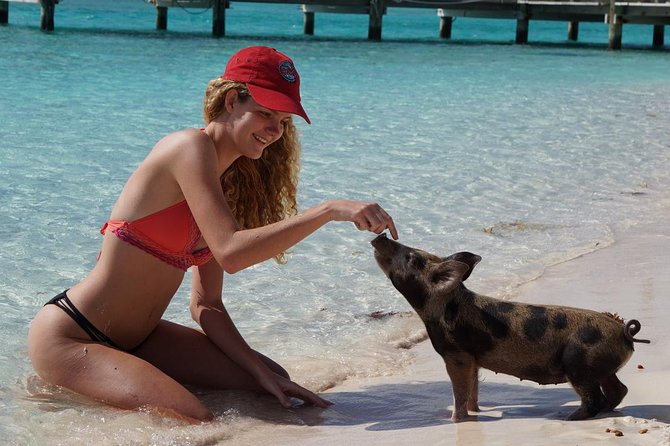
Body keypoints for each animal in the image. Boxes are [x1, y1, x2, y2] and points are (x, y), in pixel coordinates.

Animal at [371, 234, 650, 422]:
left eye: (412, 258)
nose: (380, 236)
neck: (439, 308)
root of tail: (624, 332)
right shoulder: (473, 358)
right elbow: (472, 388)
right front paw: (475, 412)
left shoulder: (456, 355)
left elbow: (459, 390)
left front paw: (456, 420)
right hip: (600, 366)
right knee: (618, 390)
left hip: (578, 364)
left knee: (595, 398)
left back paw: (569, 417)